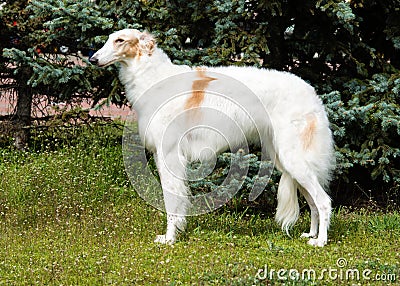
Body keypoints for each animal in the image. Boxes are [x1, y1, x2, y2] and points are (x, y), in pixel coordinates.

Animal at [90, 30, 334, 247]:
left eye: (120, 40)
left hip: (293, 158)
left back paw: (320, 241)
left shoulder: (169, 155)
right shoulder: (162, 156)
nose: (93, 59)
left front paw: (170, 238)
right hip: (287, 160)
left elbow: (171, 200)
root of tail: (312, 93)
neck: (154, 78)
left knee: (323, 201)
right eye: (108, 39)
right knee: (313, 202)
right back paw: (311, 234)